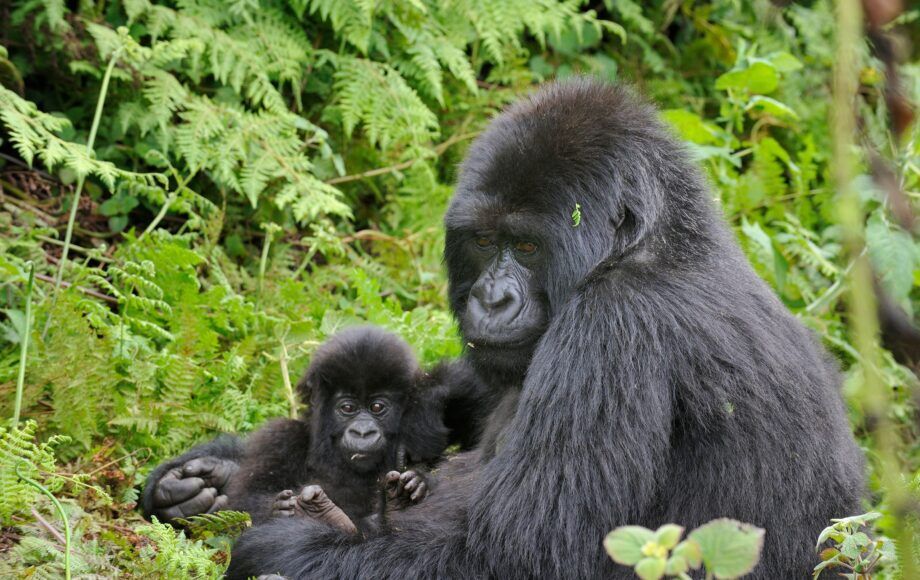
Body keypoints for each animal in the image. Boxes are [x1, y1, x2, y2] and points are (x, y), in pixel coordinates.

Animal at [220, 326, 464, 532]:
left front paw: (419, 480)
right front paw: (279, 508)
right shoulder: (280, 437)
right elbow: (244, 502)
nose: (363, 432)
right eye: (348, 408)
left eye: (377, 407)